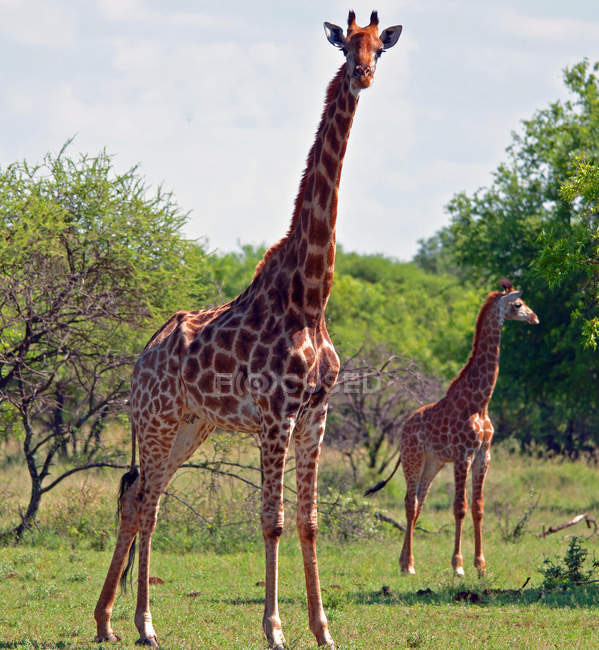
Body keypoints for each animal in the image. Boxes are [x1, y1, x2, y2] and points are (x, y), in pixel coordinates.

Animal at [94, 11, 404, 648]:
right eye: (347, 47)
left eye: (380, 50)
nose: (362, 75)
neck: (309, 298)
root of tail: (140, 357)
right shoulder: (275, 413)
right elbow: (272, 521)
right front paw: (275, 629)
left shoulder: (317, 412)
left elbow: (310, 521)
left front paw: (323, 630)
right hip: (158, 420)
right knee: (143, 500)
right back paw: (137, 624)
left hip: (192, 425)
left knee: (144, 496)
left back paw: (117, 622)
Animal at [366, 280, 540, 576]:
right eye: (518, 304)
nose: (535, 318)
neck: (479, 402)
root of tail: (403, 428)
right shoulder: (463, 454)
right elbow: (459, 507)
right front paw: (458, 566)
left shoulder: (484, 455)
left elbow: (478, 507)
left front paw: (481, 565)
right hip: (413, 458)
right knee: (410, 503)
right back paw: (408, 565)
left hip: (433, 463)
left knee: (419, 501)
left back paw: (405, 561)